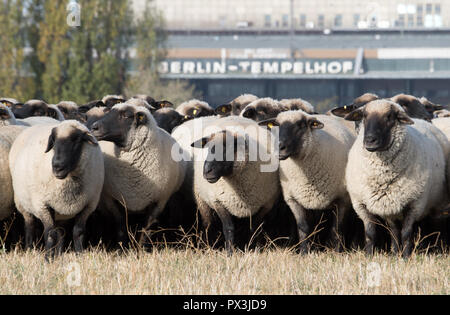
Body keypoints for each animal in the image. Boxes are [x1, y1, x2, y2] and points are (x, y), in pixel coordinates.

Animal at [8, 121, 103, 256]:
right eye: (53, 141)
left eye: (77, 140)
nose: (57, 167)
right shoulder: (43, 205)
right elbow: (50, 234)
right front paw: (48, 258)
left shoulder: (88, 205)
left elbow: (78, 232)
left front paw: (80, 255)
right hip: (23, 204)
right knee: (30, 226)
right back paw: (30, 250)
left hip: (61, 211)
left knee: (61, 232)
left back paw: (58, 254)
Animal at [89, 103, 186, 244]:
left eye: (125, 115)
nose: (94, 128)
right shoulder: (113, 200)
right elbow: (121, 225)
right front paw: (123, 245)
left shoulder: (159, 202)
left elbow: (147, 228)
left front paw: (141, 247)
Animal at [188, 117, 280, 253]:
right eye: (208, 149)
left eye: (226, 149)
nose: (206, 171)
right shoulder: (218, 202)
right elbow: (228, 228)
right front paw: (229, 252)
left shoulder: (266, 204)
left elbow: (254, 228)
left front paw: (252, 248)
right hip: (203, 202)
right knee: (208, 224)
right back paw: (208, 246)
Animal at [258, 111, 356, 252]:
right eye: (277, 124)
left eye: (301, 125)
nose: (279, 147)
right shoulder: (293, 199)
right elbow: (303, 227)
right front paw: (305, 252)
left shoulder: (343, 199)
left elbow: (337, 228)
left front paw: (336, 251)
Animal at [344, 100, 446, 258]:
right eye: (364, 116)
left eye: (389, 117)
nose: (370, 141)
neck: (382, 174)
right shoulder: (362, 204)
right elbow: (370, 234)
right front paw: (369, 256)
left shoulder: (415, 203)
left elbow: (406, 233)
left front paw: (406, 257)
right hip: (390, 206)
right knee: (394, 230)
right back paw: (394, 252)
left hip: (430, 203)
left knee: (425, 226)